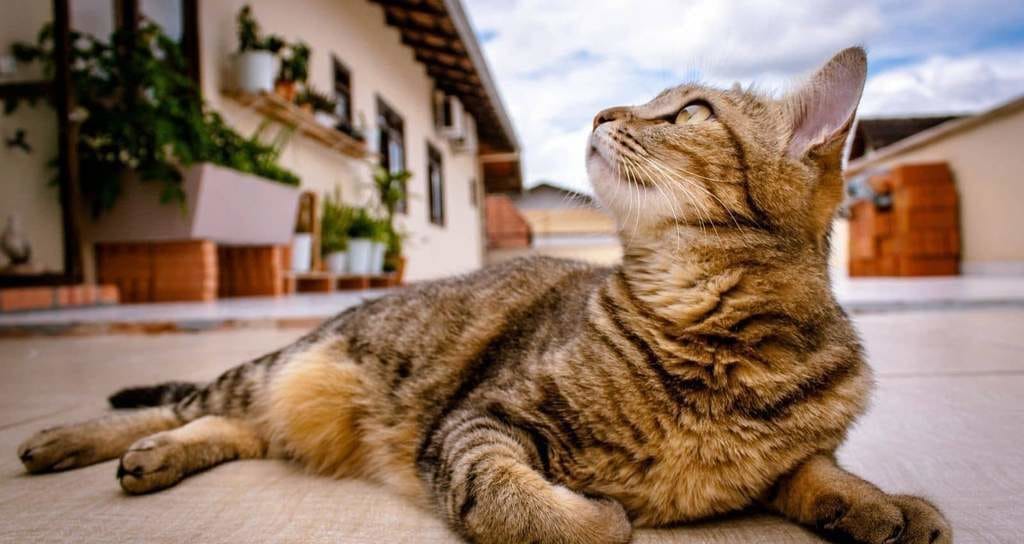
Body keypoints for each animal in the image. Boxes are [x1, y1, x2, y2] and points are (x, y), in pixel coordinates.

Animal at [16, 46, 950, 544]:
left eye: (688, 111)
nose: (603, 111)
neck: (713, 339)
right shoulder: (482, 422)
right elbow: (517, 502)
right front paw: (602, 515)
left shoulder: (789, 460)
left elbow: (817, 468)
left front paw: (887, 506)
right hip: (285, 366)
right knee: (185, 403)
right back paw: (74, 440)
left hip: (285, 403)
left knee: (236, 429)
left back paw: (156, 458)